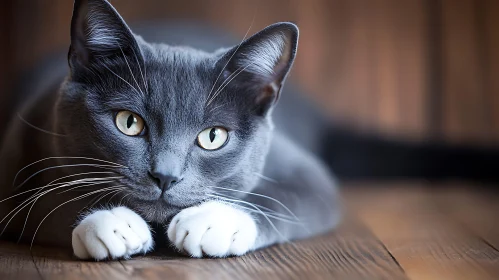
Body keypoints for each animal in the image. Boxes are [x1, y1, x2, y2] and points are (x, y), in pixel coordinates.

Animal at [0, 0, 340, 260]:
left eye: (213, 136)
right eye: (128, 122)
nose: (165, 175)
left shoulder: (304, 171)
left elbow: (290, 198)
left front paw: (213, 221)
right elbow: (45, 205)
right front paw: (111, 222)